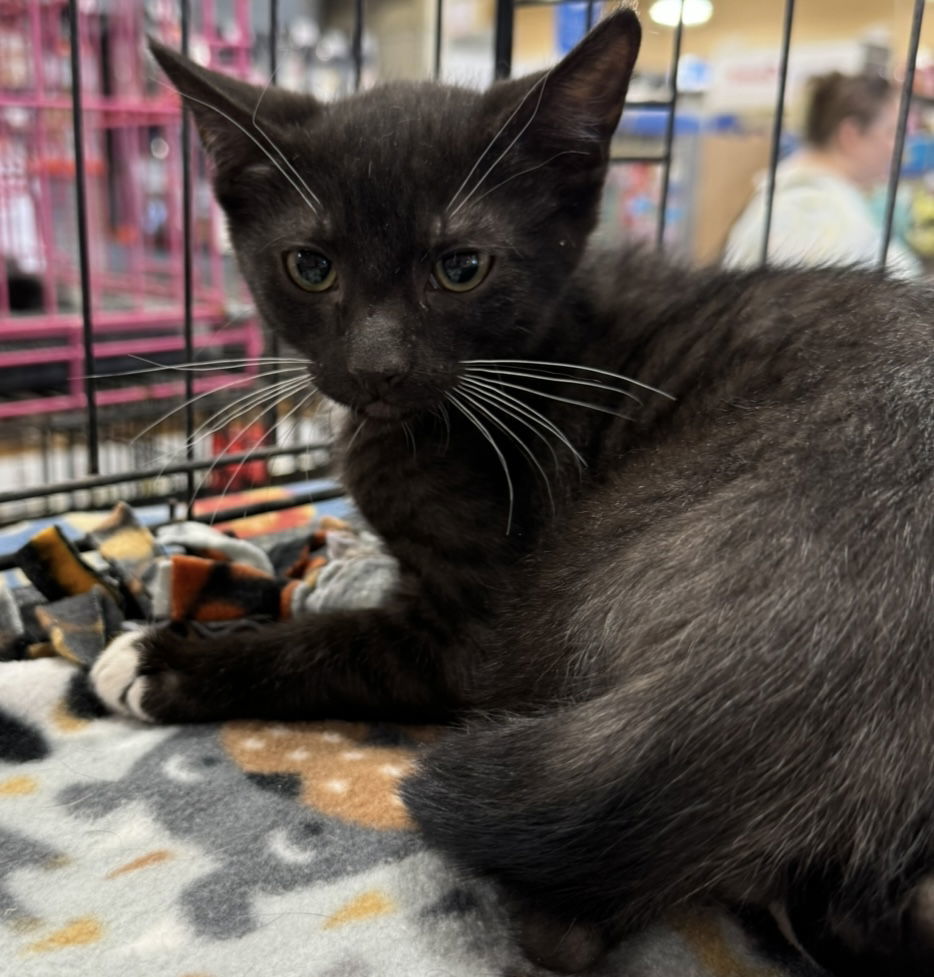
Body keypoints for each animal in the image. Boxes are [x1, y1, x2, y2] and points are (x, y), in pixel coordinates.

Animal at [91, 9, 934, 976]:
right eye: (310, 266)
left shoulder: (471, 629)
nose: (377, 366)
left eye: (462, 268)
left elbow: (335, 644)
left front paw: (162, 660)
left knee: (564, 918)